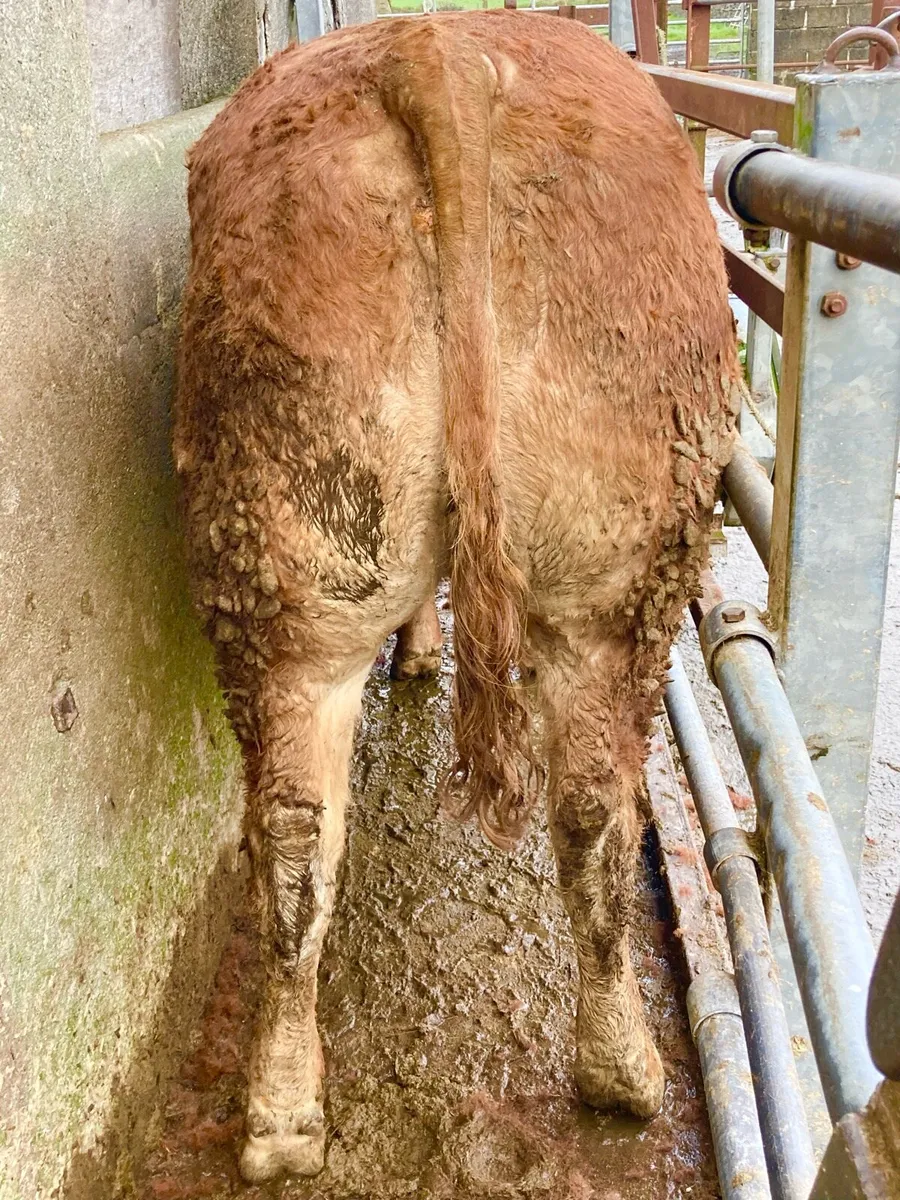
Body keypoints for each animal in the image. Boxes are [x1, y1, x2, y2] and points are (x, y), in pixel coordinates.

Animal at [174, 10, 740, 1183]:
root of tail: (436, 52)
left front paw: (421, 652)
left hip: (317, 548)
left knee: (308, 834)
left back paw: (288, 1115)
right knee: (577, 810)